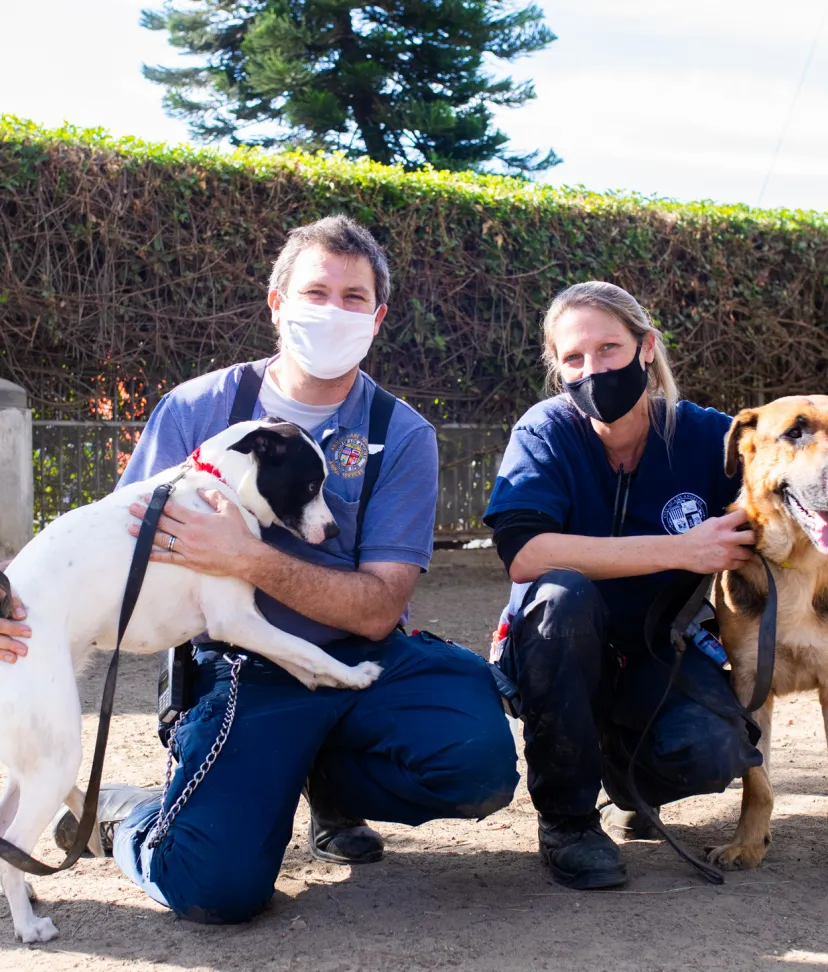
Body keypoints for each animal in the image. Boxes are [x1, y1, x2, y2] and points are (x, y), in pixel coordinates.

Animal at [0, 418, 382, 940]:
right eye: (309, 485)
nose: (334, 530)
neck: (218, 484)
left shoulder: (245, 623)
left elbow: (297, 655)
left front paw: (326, 680)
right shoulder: (235, 619)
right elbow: (308, 648)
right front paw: (353, 674)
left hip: (29, 759)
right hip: (56, 756)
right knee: (13, 844)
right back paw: (28, 924)